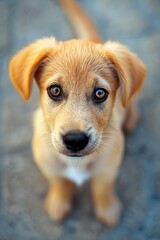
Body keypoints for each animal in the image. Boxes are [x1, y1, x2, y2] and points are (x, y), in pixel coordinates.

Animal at [8, 0, 146, 226]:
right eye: (55, 90)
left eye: (100, 93)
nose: (75, 140)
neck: (76, 163)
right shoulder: (47, 164)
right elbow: (59, 183)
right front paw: (59, 203)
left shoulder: (108, 167)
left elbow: (102, 189)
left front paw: (108, 209)